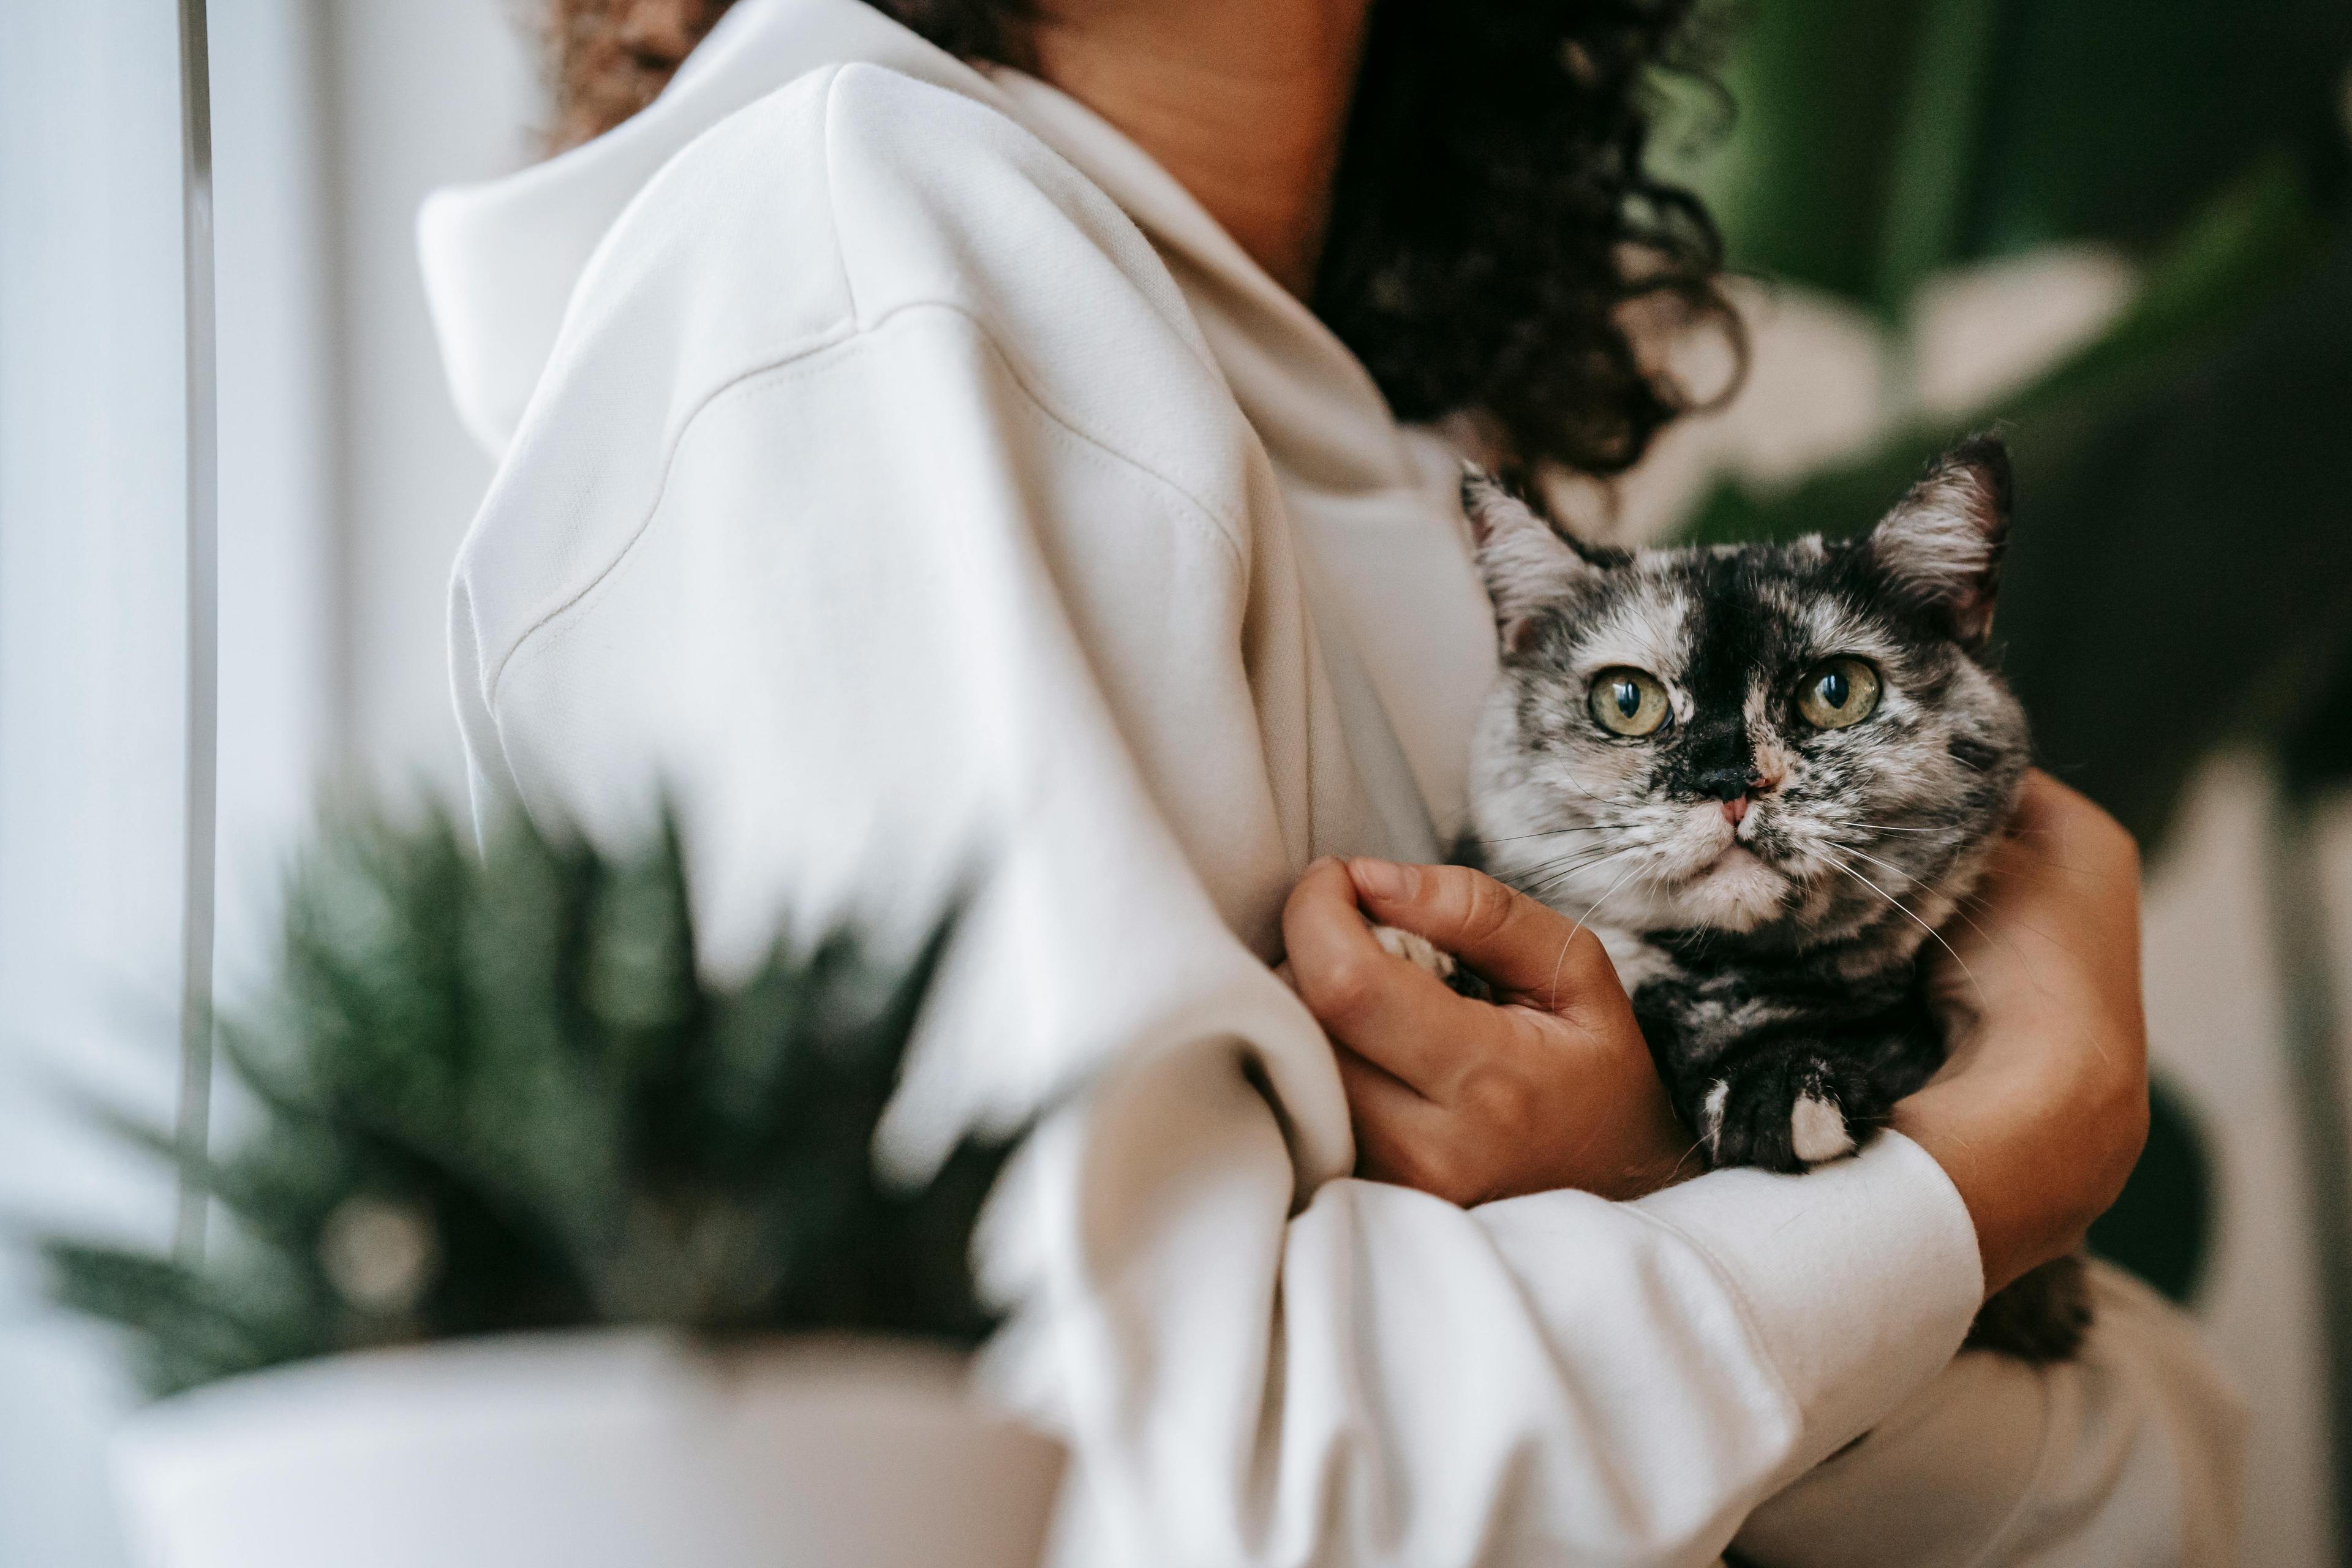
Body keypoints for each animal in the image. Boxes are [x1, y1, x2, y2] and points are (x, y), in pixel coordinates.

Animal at [1392, 439, 2079, 1363]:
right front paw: (1419, 956)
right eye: (1627, 700)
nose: (1728, 780)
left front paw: (1785, 1093)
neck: (1713, 980)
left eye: (1837, 690)